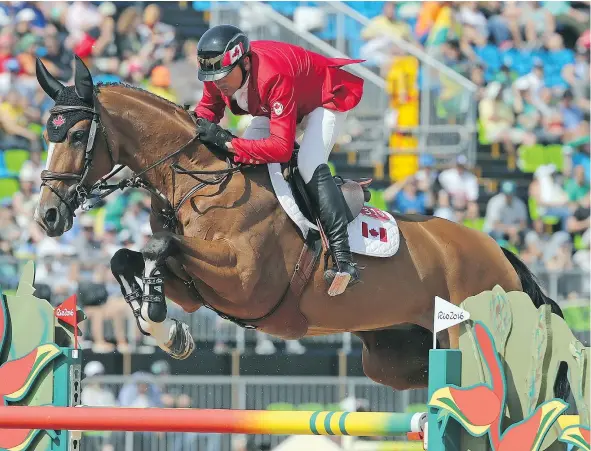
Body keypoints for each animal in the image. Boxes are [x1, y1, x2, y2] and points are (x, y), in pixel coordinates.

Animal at [32, 54, 568, 398]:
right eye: (47, 134)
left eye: (76, 135)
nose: (48, 216)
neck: (203, 180)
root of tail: (501, 253)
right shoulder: (201, 288)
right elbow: (130, 254)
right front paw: (164, 327)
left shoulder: (245, 283)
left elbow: (160, 245)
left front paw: (160, 317)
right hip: (393, 357)